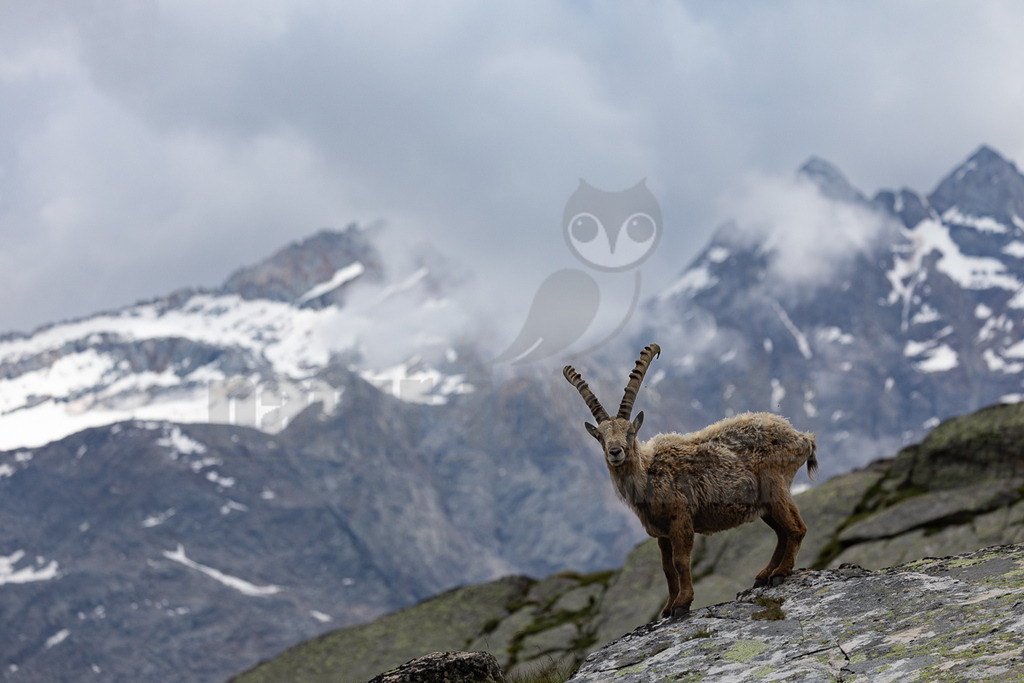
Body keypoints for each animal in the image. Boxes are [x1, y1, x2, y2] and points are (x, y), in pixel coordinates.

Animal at [563, 343, 817, 618]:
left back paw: (780, 573)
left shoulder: (681, 520)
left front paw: (682, 604)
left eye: (630, 432)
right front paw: (667, 607)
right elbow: (666, 569)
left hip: (775, 486)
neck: (649, 476)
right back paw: (764, 575)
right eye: (600, 436)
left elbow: (681, 562)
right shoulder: (661, 533)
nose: (615, 452)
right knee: (782, 532)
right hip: (764, 504)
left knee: (796, 528)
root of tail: (802, 437)